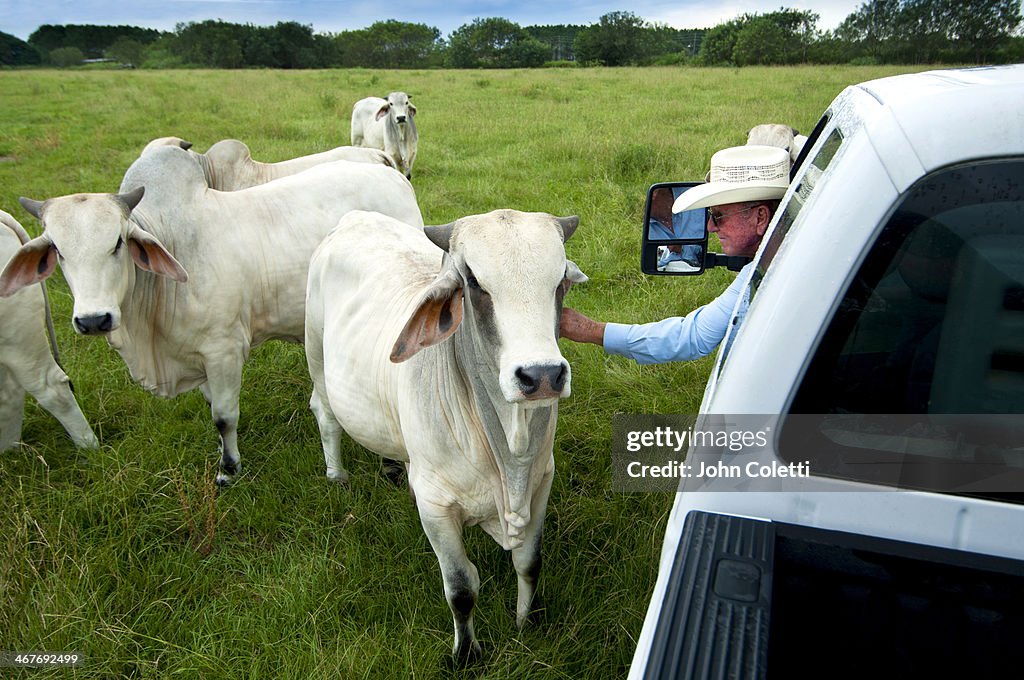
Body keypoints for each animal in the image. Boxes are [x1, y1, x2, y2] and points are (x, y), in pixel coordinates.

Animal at [301, 208, 585, 663]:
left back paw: (391, 467)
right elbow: (462, 588)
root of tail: (355, 217)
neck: (509, 455)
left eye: (559, 278)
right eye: (473, 281)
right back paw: (337, 476)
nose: (541, 376)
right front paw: (466, 653)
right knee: (325, 416)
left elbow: (529, 563)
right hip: (316, 359)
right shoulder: (435, 508)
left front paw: (525, 624)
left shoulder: (542, 483)